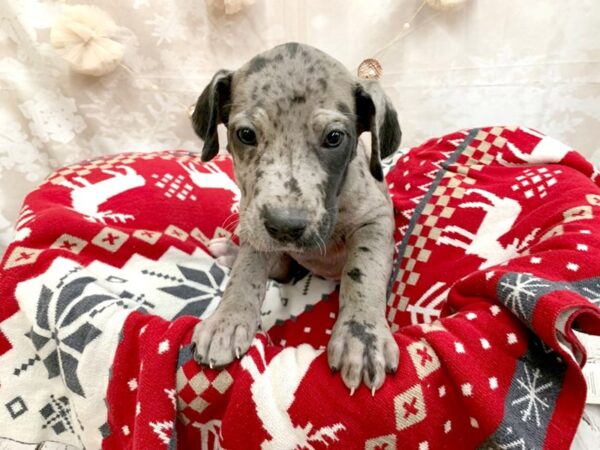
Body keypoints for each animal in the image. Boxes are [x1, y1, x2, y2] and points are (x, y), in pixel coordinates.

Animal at [190, 43, 400, 394]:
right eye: (245, 134)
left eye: (334, 138)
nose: (285, 227)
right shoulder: (255, 225)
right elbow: (247, 271)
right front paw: (227, 319)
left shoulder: (375, 220)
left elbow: (362, 272)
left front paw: (362, 335)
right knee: (279, 269)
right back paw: (230, 253)